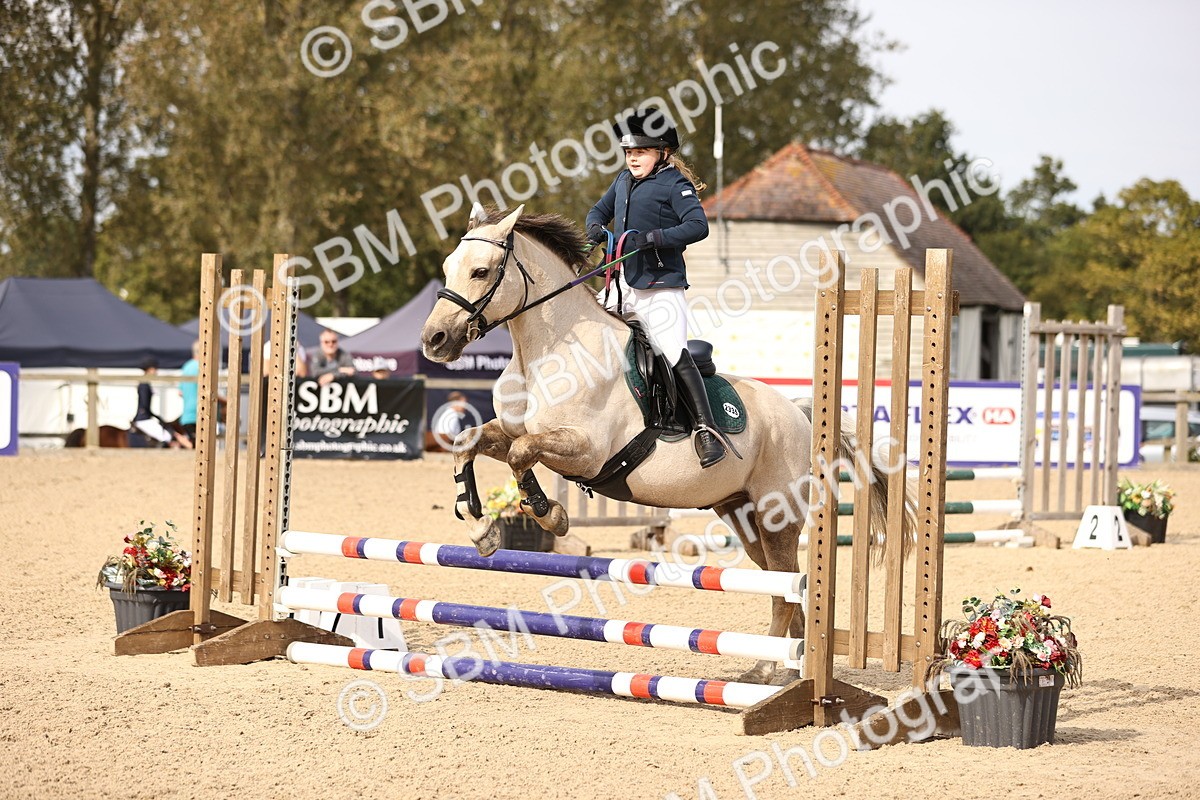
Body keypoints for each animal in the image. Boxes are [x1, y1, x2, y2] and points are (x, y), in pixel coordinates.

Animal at [420, 205, 909, 684]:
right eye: (447, 267)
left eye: (481, 271)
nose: (433, 340)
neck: (548, 352)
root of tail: (800, 413)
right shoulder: (511, 431)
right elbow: (468, 442)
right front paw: (481, 528)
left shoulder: (585, 451)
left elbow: (522, 455)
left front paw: (549, 515)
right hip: (743, 514)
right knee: (783, 584)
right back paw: (788, 670)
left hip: (778, 515)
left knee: (785, 585)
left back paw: (768, 667)